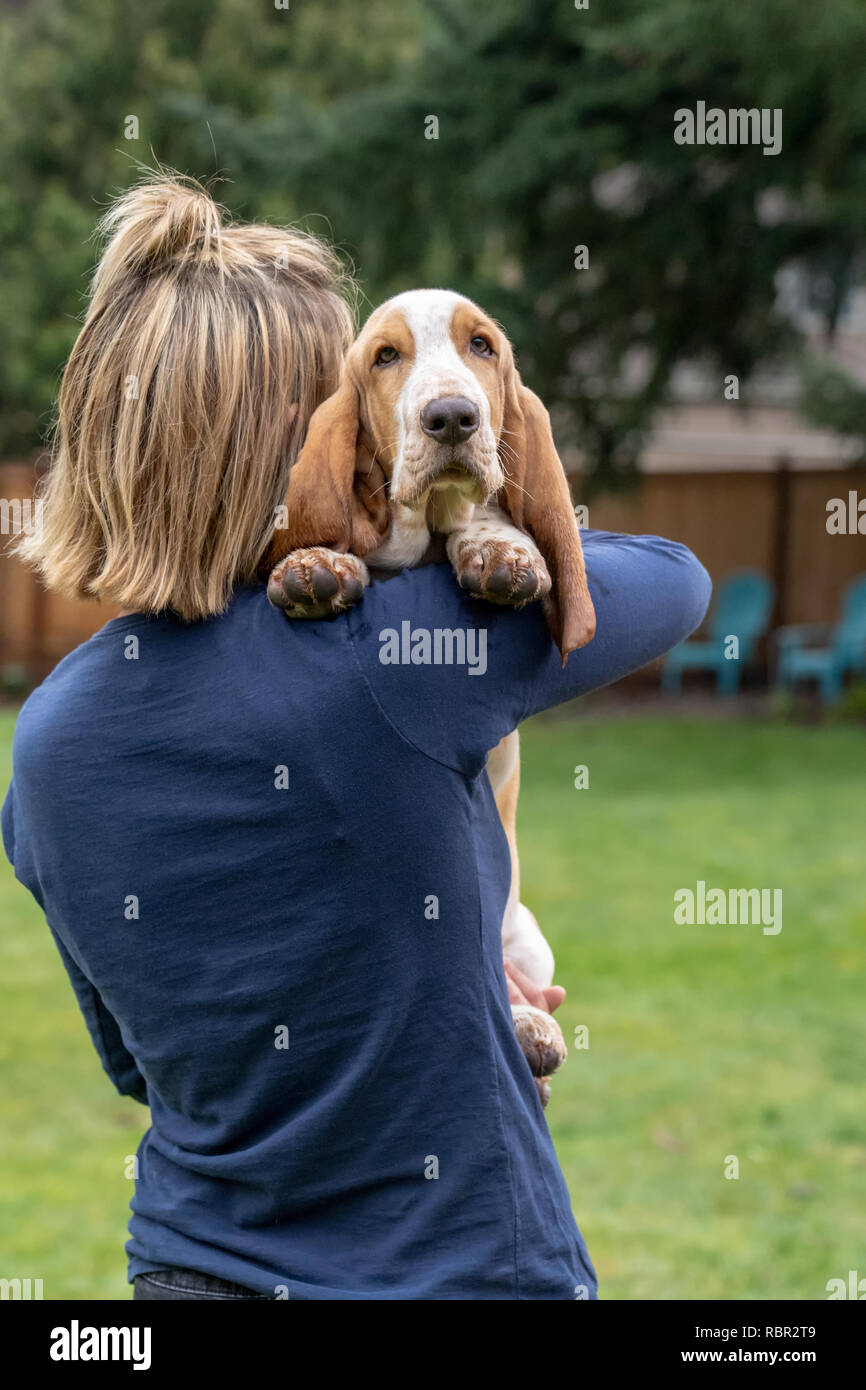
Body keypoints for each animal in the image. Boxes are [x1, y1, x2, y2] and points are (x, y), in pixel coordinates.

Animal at [268, 293, 600, 1106]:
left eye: (481, 346)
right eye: (385, 357)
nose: (452, 418)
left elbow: (491, 522)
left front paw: (501, 551)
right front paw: (314, 565)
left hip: (527, 933)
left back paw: (531, 1031)